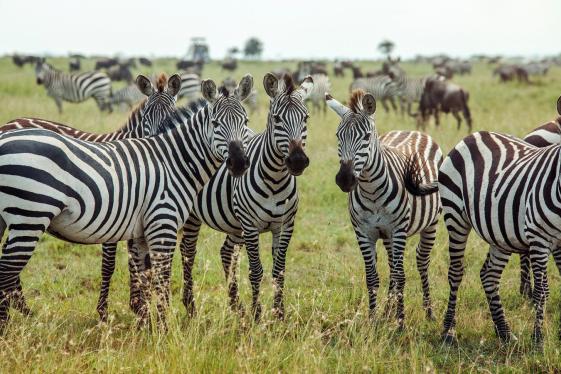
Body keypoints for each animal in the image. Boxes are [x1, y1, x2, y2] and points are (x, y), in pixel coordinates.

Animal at [0, 74, 254, 328]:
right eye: (215, 124)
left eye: (246, 121)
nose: (239, 163)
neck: (173, 161)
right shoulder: (163, 223)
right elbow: (159, 278)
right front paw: (164, 329)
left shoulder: (141, 229)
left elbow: (144, 274)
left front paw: (145, 322)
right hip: (30, 217)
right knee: (6, 272)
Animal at [178, 73, 312, 318]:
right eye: (277, 119)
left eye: (305, 118)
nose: (297, 161)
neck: (276, 179)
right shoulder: (250, 226)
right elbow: (256, 271)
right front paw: (257, 314)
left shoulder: (285, 224)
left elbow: (279, 270)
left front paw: (279, 314)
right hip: (195, 216)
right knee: (188, 251)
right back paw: (191, 305)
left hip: (235, 224)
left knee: (226, 251)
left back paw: (235, 306)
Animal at [324, 88, 442, 328]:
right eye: (338, 137)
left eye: (366, 137)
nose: (345, 179)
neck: (371, 191)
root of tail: (413, 130)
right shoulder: (363, 232)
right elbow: (372, 277)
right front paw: (373, 319)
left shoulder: (398, 231)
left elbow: (400, 276)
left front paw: (400, 323)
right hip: (387, 235)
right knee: (391, 266)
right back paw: (388, 311)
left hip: (430, 224)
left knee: (421, 261)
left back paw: (428, 312)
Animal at [440, 129, 561, 344]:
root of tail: (473, 135)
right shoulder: (539, 238)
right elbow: (542, 292)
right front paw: (538, 339)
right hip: (455, 215)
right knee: (455, 273)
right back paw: (449, 331)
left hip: (500, 233)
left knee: (489, 275)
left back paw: (504, 332)